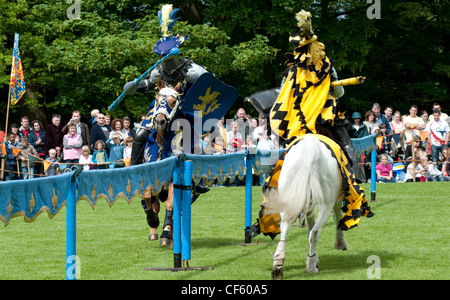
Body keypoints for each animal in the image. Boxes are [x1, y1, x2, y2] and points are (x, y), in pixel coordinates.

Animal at [266, 134, 350, 278]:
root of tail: (311, 148)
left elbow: (309, 226)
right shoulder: (337, 198)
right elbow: (337, 217)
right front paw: (339, 243)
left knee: (285, 229)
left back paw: (278, 264)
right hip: (326, 204)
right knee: (315, 232)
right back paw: (311, 265)